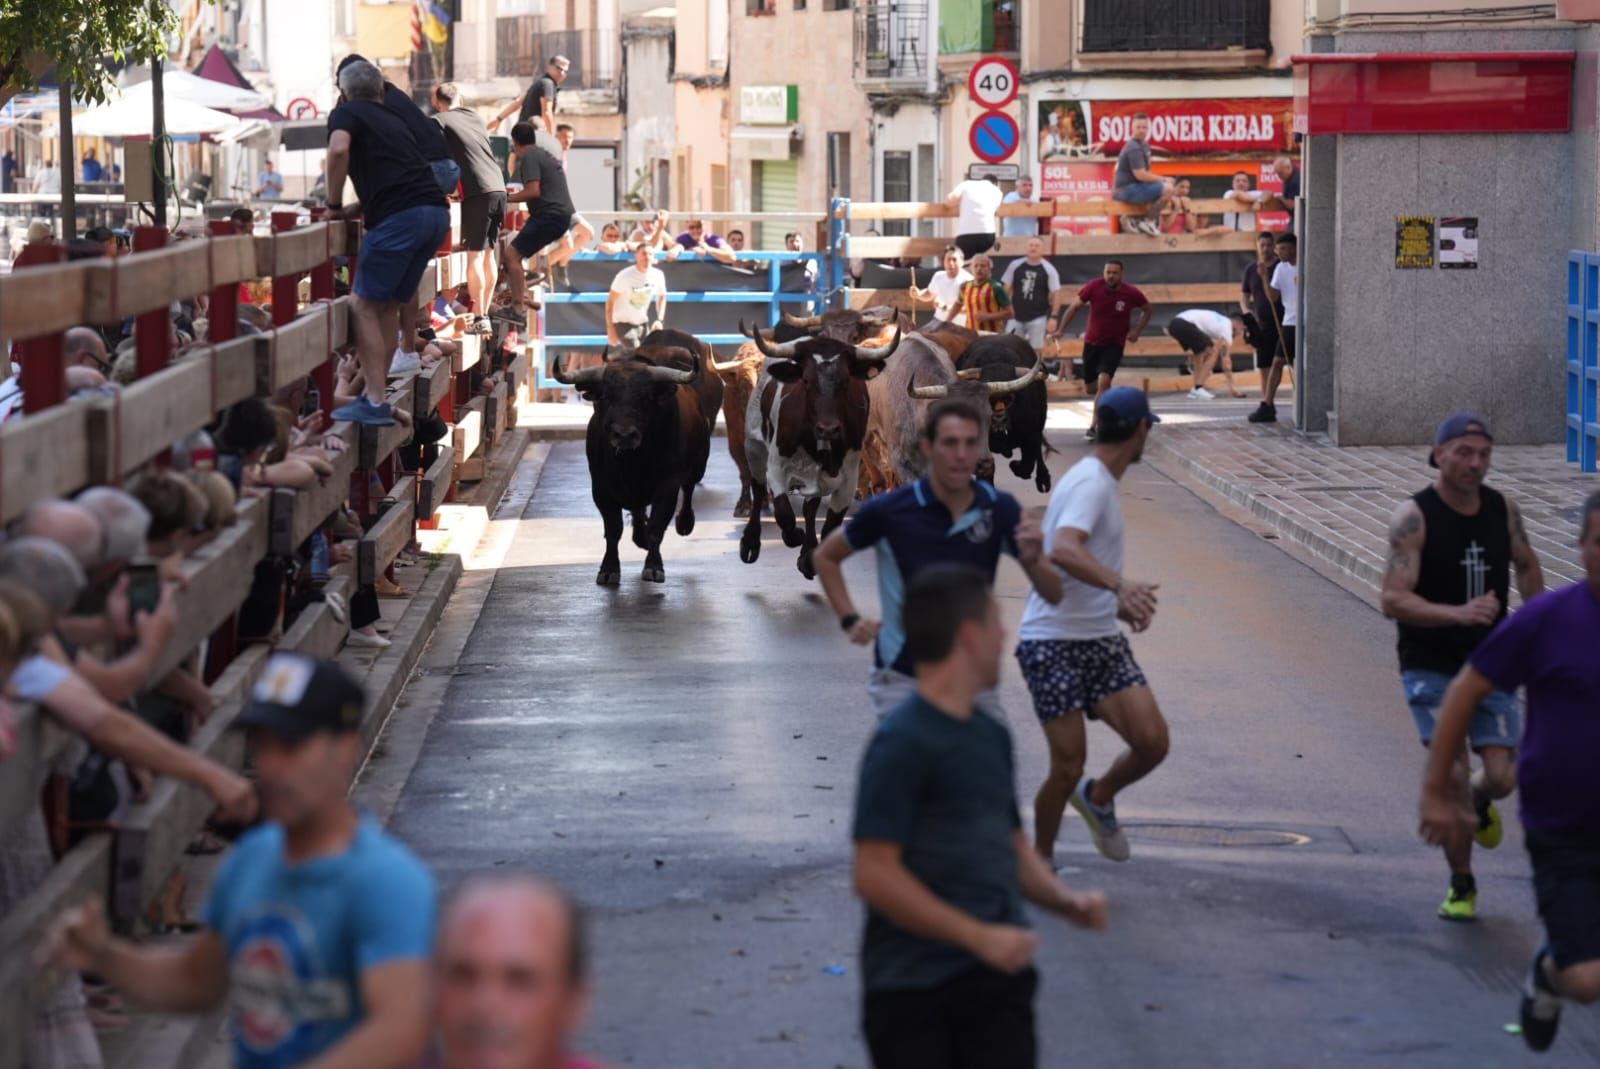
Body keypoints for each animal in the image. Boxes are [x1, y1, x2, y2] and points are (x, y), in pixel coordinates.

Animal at [953, 331, 1056, 496]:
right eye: (987, 398)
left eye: (1009, 398)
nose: (998, 420)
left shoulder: (1031, 433)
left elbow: (1027, 463)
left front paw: (1016, 465)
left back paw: (1043, 480)